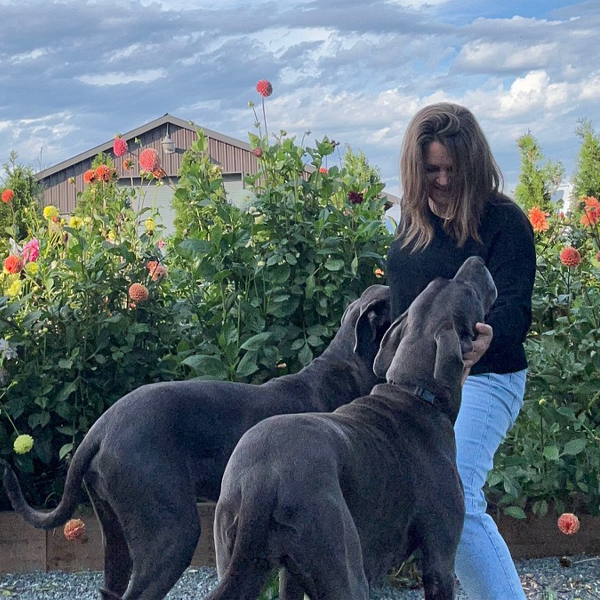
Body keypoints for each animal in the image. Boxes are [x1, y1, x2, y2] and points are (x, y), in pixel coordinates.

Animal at [206, 256, 496, 600]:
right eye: (467, 290)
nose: (476, 260)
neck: (413, 391)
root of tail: (260, 478)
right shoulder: (440, 558)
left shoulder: (290, 574)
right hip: (343, 565)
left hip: (244, 558)